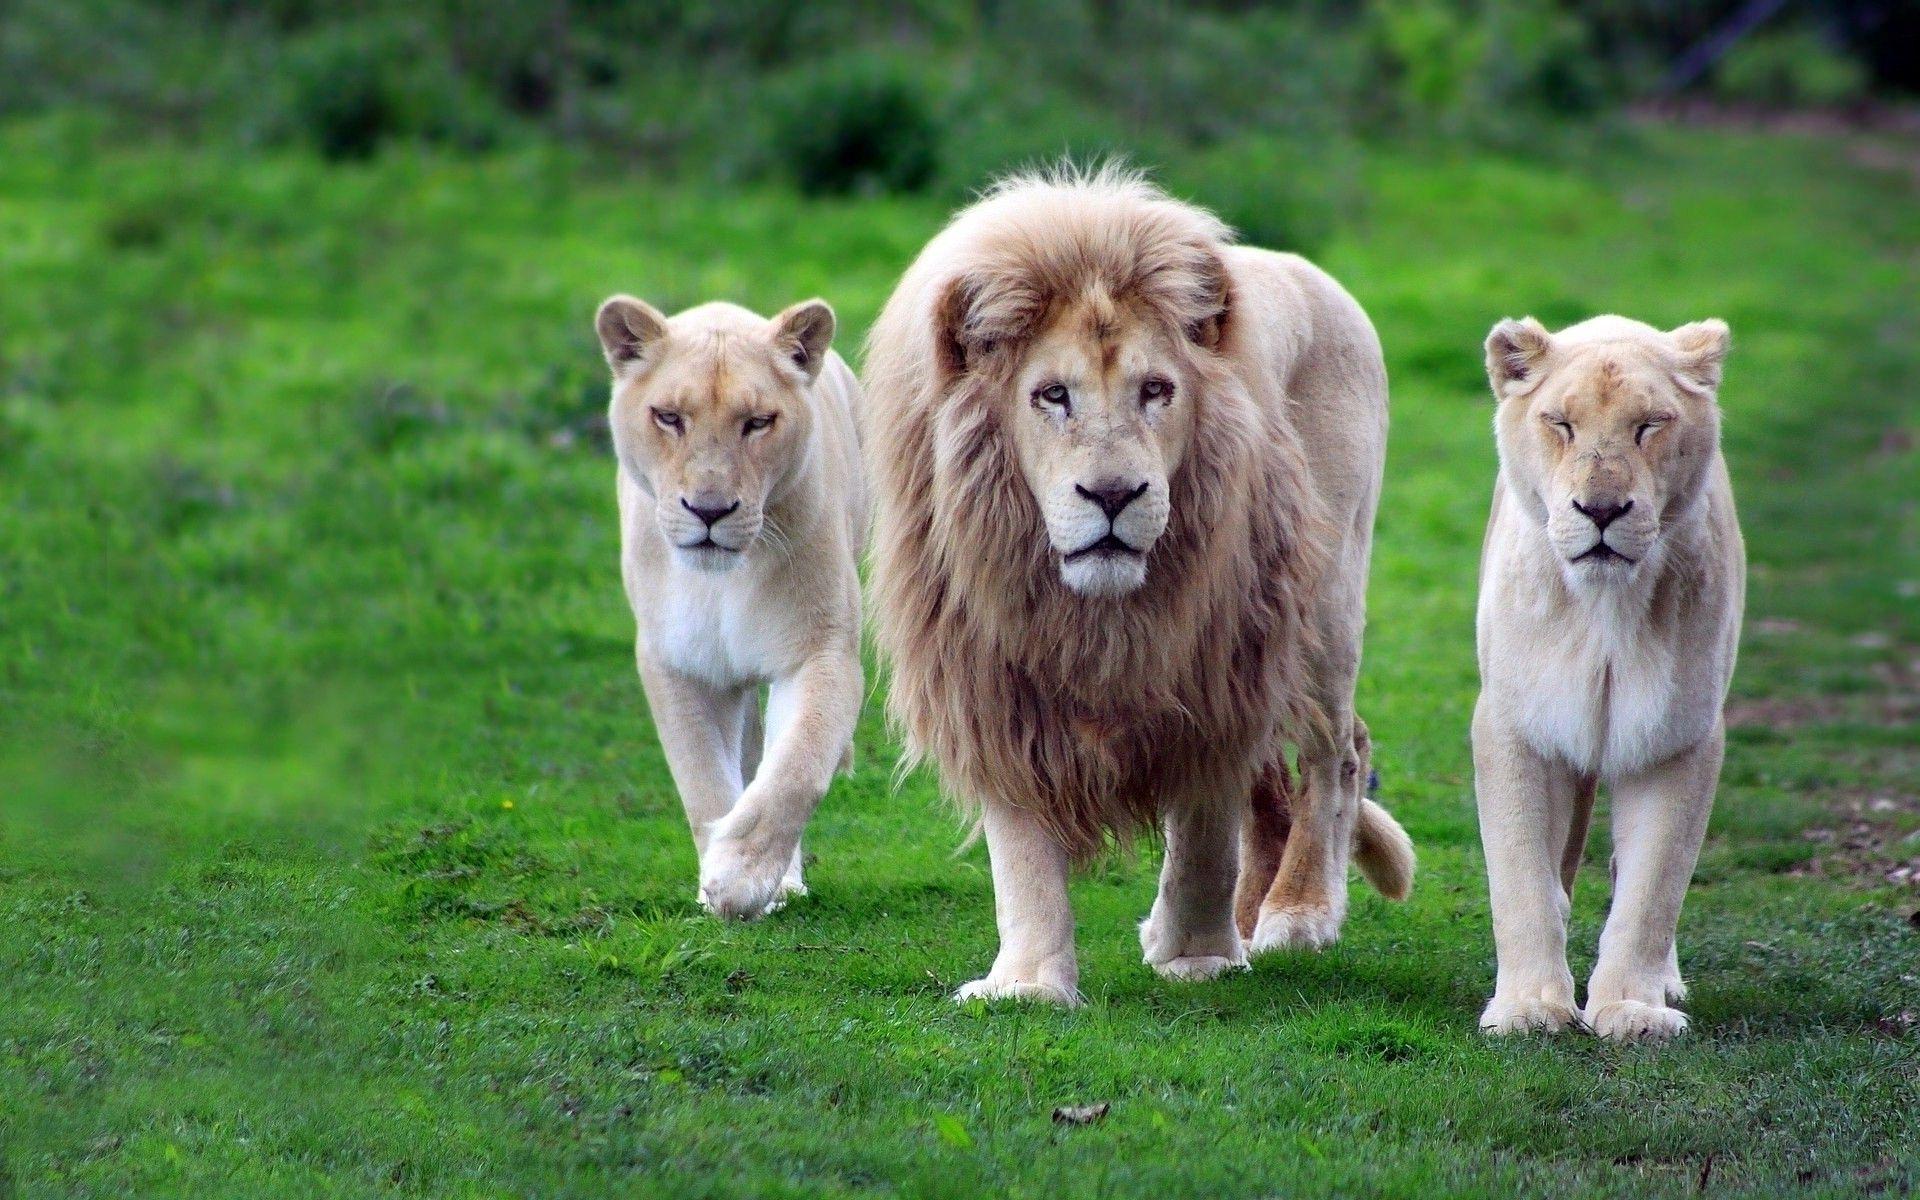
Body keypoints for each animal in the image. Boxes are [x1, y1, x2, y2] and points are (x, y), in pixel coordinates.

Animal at [595, 296, 865, 920]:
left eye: (758, 422)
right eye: (669, 417)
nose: (710, 510)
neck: (722, 583)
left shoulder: (822, 651)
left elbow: (797, 767)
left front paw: (741, 876)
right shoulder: (677, 663)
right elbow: (702, 778)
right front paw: (717, 882)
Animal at [862, 168, 1415, 1004]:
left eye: (1156, 390)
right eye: (1052, 395)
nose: (1115, 494)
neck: (1095, 613)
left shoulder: (1217, 669)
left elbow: (1204, 835)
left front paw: (1197, 956)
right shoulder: (993, 681)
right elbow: (1022, 853)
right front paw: (1028, 984)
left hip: (1321, 605)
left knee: (1336, 754)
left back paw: (1297, 913)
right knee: (1273, 783)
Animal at [1474, 314, 1744, 1041]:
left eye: (1650, 425)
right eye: (1560, 424)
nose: (1600, 510)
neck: (1604, 608)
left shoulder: (1678, 737)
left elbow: (1653, 888)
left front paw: (1631, 1010)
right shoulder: (1516, 727)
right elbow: (1521, 878)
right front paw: (1530, 1008)